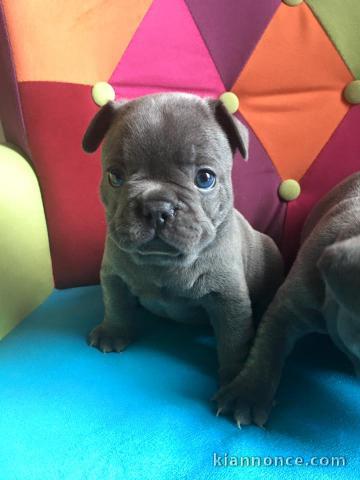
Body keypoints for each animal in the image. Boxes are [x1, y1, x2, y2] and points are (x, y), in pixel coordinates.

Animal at [83, 93, 282, 408]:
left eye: (205, 179)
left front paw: (237, 379)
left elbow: (234, 339)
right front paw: (113, 332)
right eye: (115, 176)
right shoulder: (113, 275)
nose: (156, 208)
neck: (164, 264)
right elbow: (115, 304)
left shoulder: (229, 299)